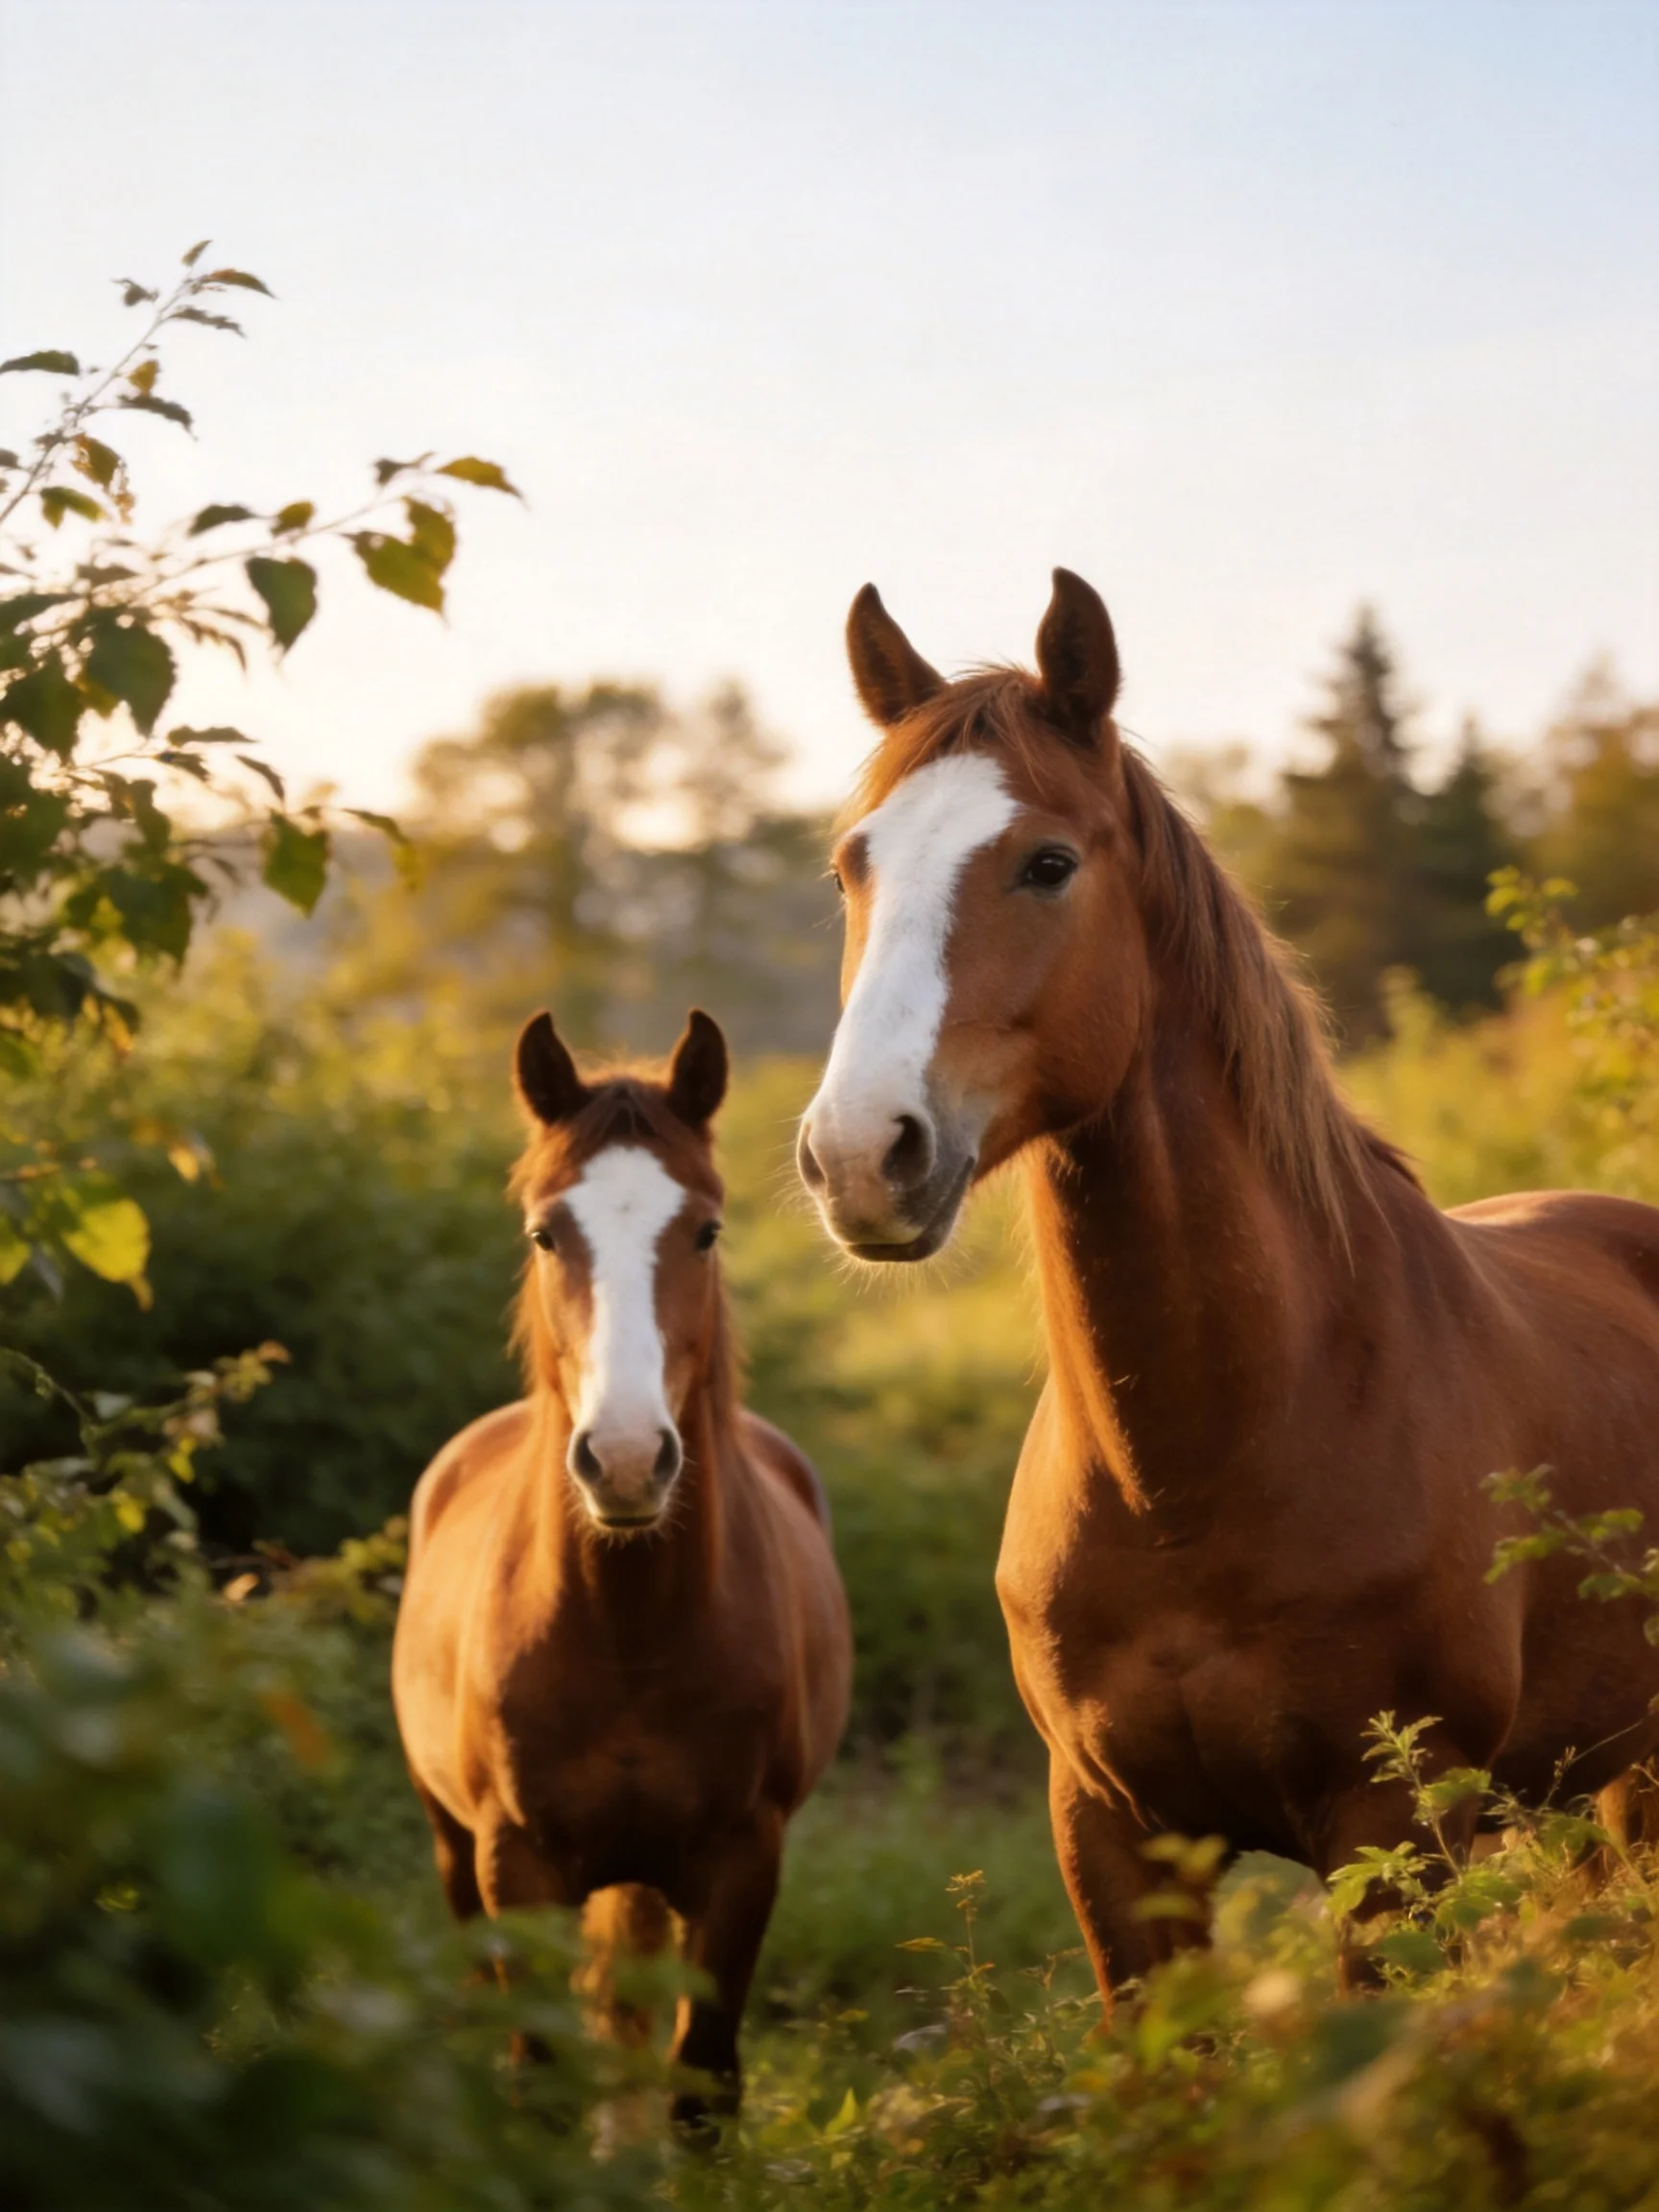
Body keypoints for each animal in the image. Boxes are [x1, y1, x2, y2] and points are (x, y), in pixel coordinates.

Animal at [393, 1009, 851, 2123]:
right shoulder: (514, 1863)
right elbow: (539, 2078)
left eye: (707, 1231)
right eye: (544, 1233)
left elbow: (699, 2092)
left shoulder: (743, 1866)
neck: (631, 1635)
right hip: (451, 1848)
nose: (630, 1457)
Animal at [796, 567, 1659, 2002]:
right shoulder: (1114, 1836)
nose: (863, 1156)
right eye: (853, 864)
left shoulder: (1394, 1832)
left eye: (1048, 863)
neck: (1196, 1472)